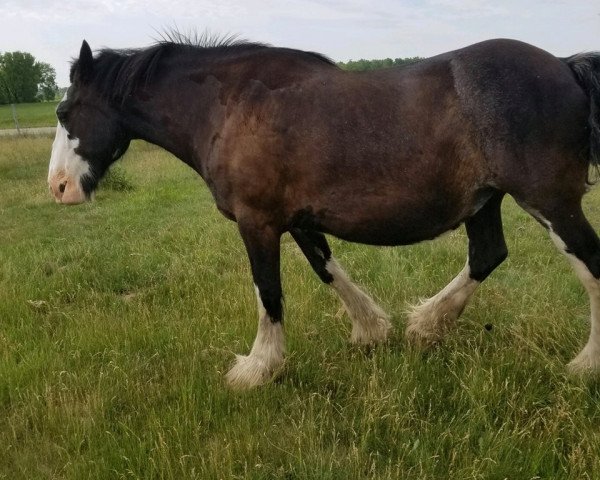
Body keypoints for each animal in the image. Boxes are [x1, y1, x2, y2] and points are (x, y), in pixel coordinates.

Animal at [48, 37, 600, 390]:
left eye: (64, 111)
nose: (58, 188)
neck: (229, 105)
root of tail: (563, 64)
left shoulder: (257, 221)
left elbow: (269, 293)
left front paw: (258, 368)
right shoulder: (296, 220)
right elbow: (327, 269)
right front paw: (372, 331)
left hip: (550, 203)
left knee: (590, 266)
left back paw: (585, 365)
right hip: (485, 199)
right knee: (488, 254)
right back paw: (426, 324)